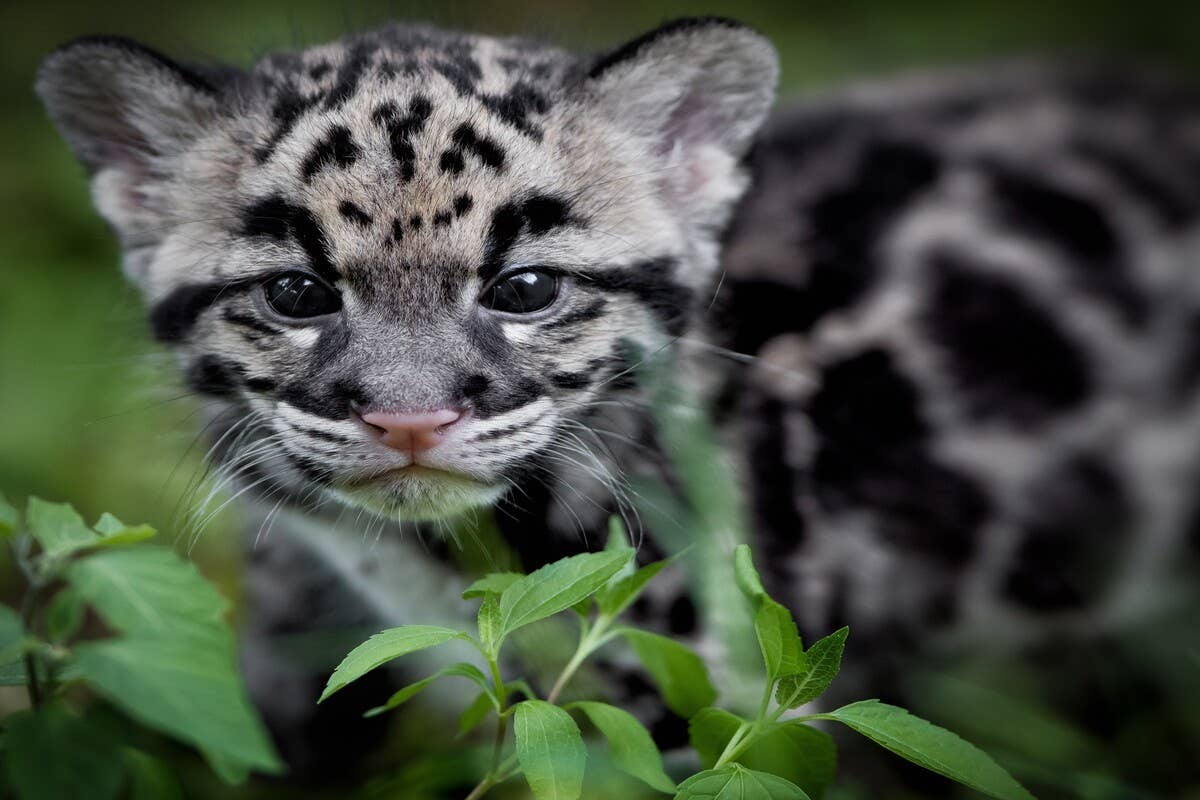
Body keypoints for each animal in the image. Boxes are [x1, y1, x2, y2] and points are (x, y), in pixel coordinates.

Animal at [36, 16, 1200, 794]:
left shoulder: (707, 699)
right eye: (295, 294)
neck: (437, 563)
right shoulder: (296, 625)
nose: (408, 419)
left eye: (524, 288)